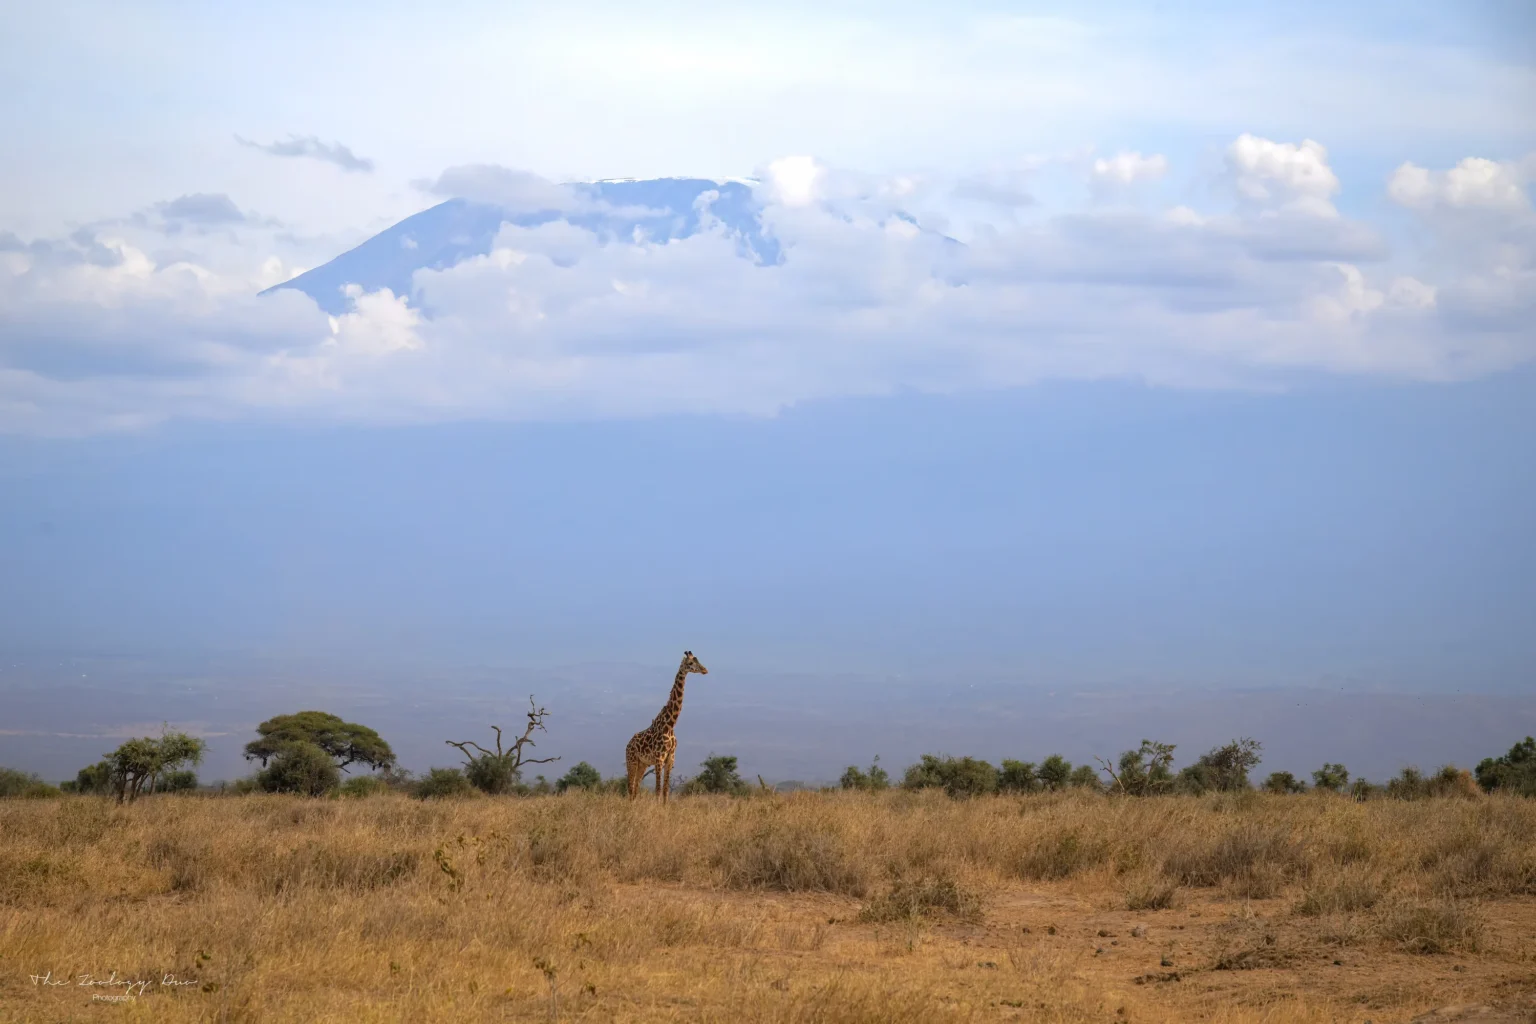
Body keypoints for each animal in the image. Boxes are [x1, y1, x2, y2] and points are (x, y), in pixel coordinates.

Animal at [625, 650, 708, 803]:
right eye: (690, 663)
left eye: (698, 660)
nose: (705, 670)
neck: (670, 725)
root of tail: (628, 744)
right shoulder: (659, 759)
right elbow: (658, 790)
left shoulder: (670, 759)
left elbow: (665, 791)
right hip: (632, 761)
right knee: (630, 786)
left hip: (642, 764)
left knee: (636, 788)